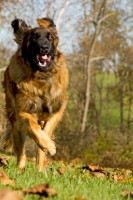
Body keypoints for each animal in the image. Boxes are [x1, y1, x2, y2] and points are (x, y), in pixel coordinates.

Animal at [1, 17, 68, 171]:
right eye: (35, 37)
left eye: (50, 38)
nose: (44, 48)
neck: (41, 76)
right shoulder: (22, 112)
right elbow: (34, 128)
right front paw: (49, 146)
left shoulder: (57, 109)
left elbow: (46, 131)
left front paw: (48, 146)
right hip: (15, 124)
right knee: (21, 153)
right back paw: (20, 169)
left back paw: (40, 169)